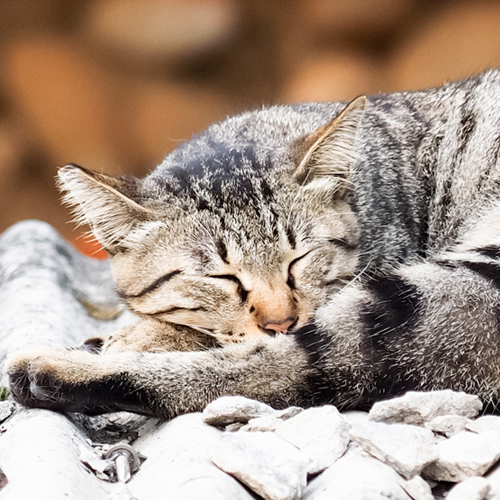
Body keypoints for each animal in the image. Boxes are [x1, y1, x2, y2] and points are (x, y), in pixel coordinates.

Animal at [7, 68, 500, 416]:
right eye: (222, 277)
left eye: (299, 258)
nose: (281, 322)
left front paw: (143, 335)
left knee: (282, 371)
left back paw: (55, 370)